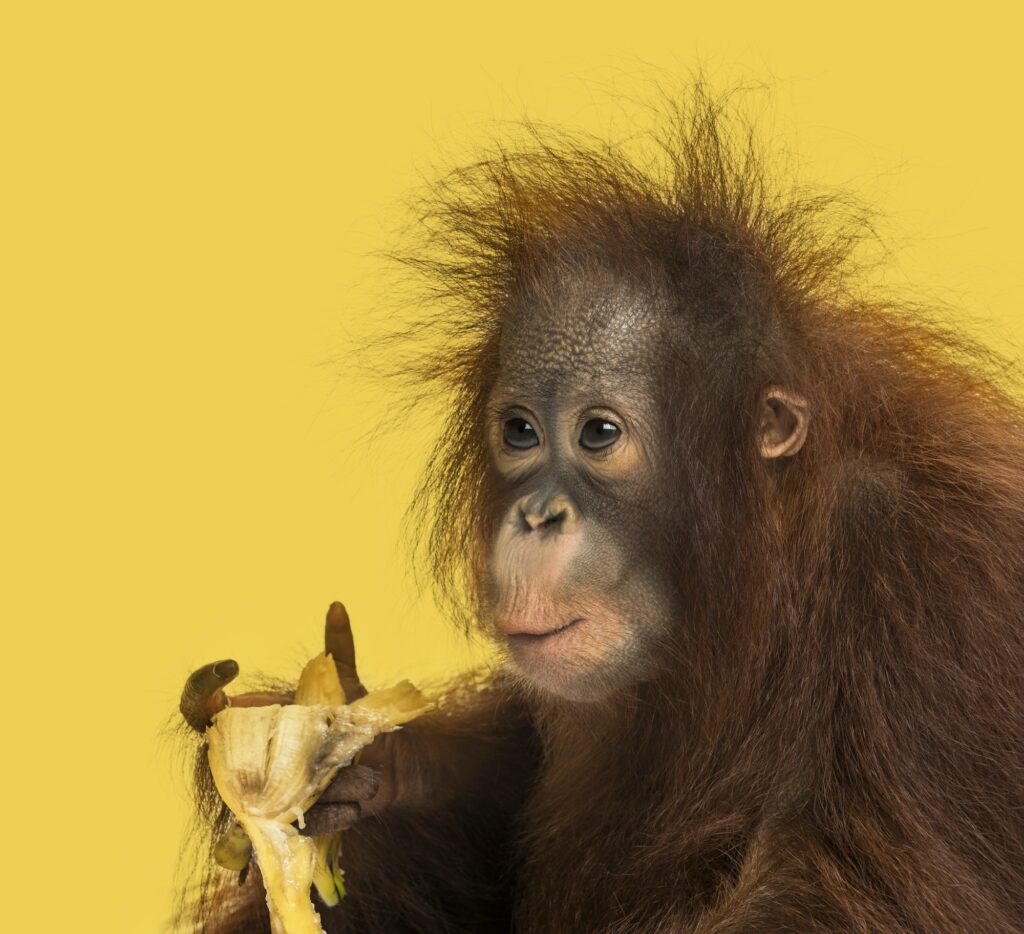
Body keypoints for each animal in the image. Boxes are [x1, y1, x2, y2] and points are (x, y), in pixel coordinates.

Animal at [176, 86, 1024, 932]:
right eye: (520, 431)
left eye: (599, 434)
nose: (537, 517)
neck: (769, 574)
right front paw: (370, 765)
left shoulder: (923, 588)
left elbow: (842, 897)